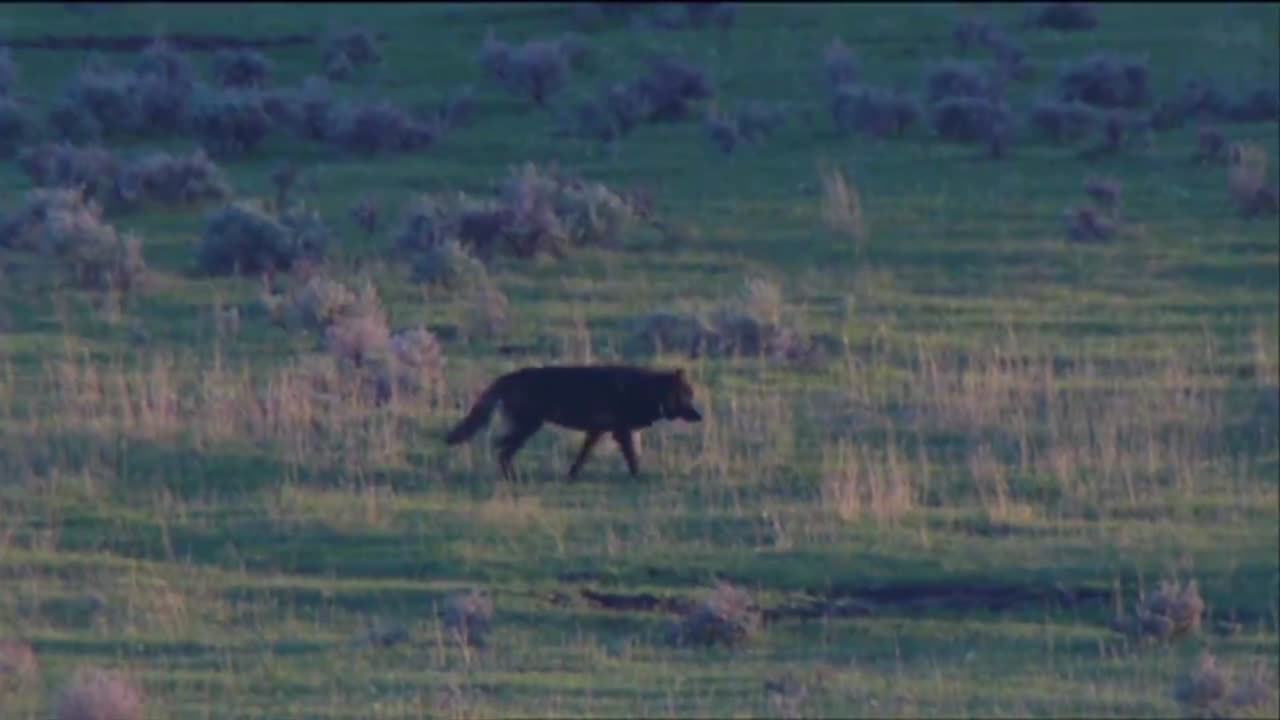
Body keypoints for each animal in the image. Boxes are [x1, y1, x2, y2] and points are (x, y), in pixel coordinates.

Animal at [444, 365, 703, 481]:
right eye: (687, 397)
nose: (700, 416)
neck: (645, 390)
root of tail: (506, 377)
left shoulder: (597, 432)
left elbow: (582, 457)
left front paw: (571, 476)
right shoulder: (620, 432)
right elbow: (631, 457)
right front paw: (637, 477)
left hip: (527, 428)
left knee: (501, 448)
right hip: (528, 427)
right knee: (501, 448)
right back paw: (512, 478)